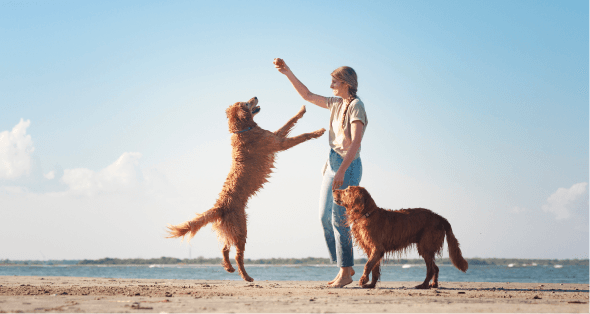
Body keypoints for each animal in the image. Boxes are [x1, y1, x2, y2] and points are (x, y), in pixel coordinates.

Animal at [166, 97, 326, 282]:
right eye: (247, 103)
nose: (255, 96)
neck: (242, 130)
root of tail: (219, 206)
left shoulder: (275, 135)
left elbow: (290, 121)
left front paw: (301, 111)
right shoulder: (280, 143)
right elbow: (301, 135)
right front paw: (318, 131)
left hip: (232, 230)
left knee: (224, 248)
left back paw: (229, 268)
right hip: (242, 229)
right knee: (237, 255)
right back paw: (246, 276)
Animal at [336, 186, 470, 290]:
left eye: (347, 189)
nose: (333, 189)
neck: (366, 214)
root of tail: (440, 217)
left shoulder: (377, 248)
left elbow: (368, 265)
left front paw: (363, 280)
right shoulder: (372, 250)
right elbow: (374, 268)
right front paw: (371, 285)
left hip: (425, 246)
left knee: (431, 269)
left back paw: (423, 285)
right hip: (426, 247)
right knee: (435, 268)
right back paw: (433, 284)